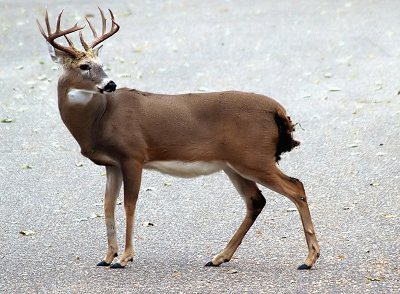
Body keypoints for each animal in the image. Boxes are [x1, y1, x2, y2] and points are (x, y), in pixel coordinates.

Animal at [36, 8, 318, 270]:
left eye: (101, 63)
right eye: (84, 66)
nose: (110, 84)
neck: (100, 119)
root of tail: (276, 110)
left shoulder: (133, 155)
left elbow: (129, 204)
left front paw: (125, 258)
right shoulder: (112, 163)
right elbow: (107, 205)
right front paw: (107, 256)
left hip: (254, 157)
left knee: (296, 187)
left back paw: (309, 258)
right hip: (234, 164)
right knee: (256, 200)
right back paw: (219, 257)